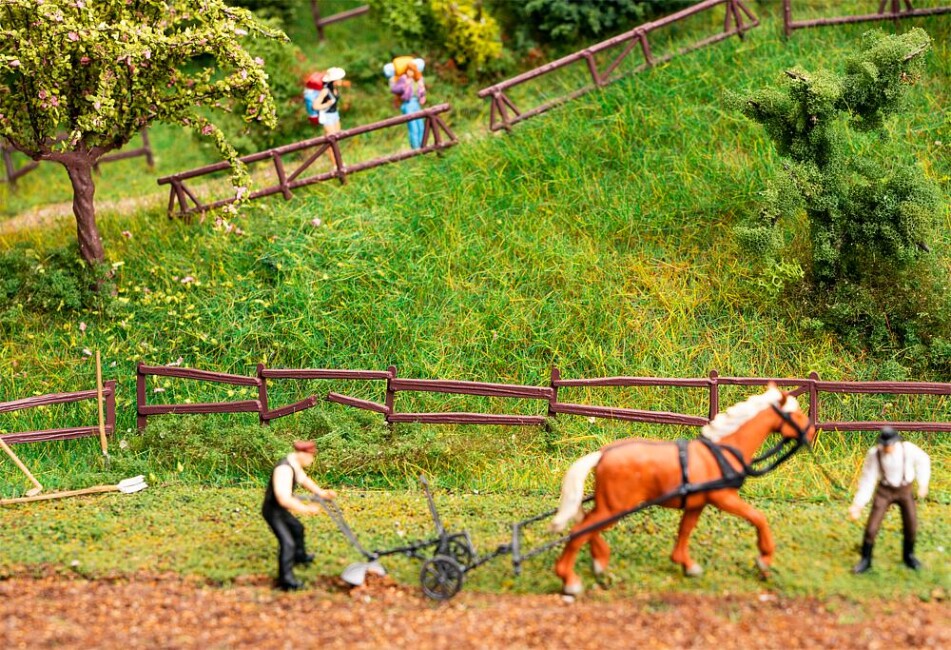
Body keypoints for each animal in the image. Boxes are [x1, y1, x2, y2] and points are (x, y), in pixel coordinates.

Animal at [556, 382, 816, 596]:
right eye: (795, 413)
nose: (812, 430)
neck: (723, 451)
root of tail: (602, 453)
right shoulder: (724, 498)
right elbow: (758, 517)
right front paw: (764, 559)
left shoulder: (695, 504)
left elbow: (685, 530)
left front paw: (687, 565)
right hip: (615, 508)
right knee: (581, 531)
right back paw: (570, 581)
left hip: (609, 506)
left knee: (587, 525)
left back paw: (599, 562)